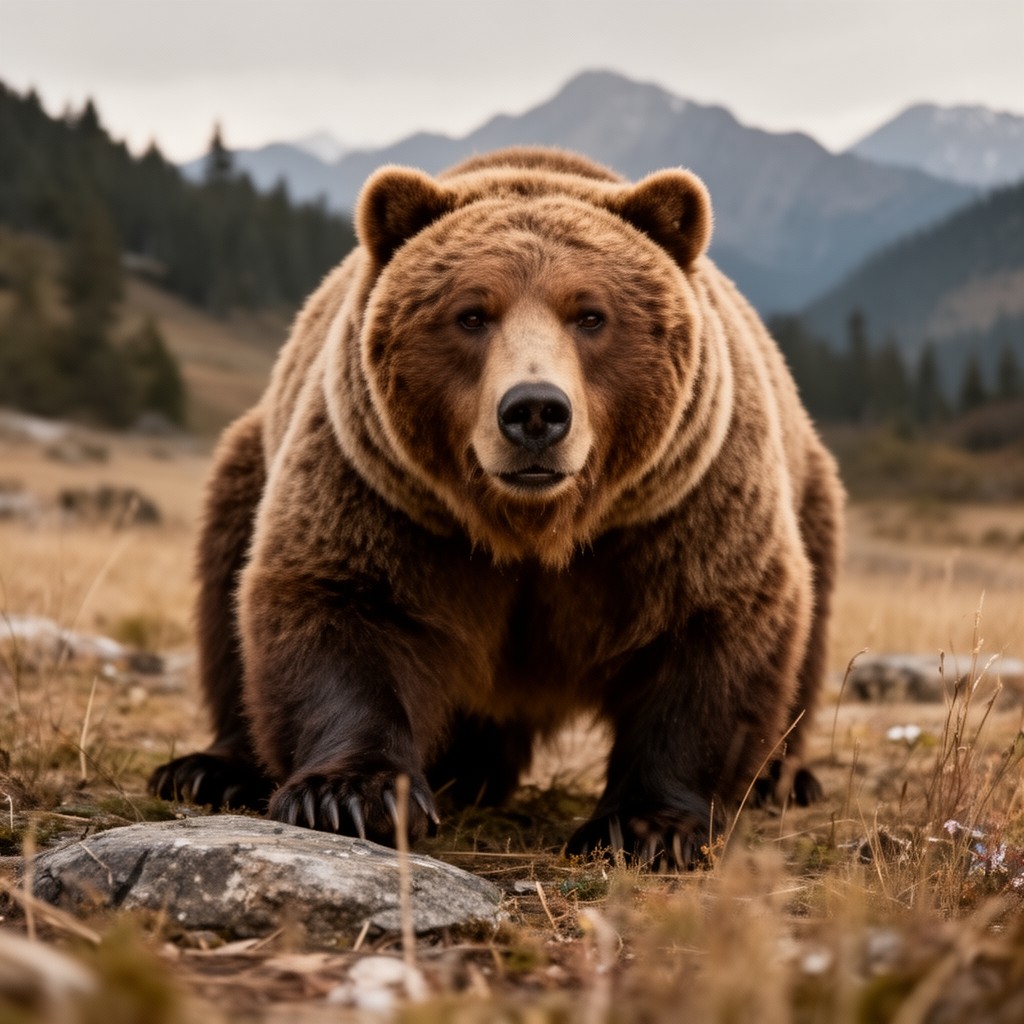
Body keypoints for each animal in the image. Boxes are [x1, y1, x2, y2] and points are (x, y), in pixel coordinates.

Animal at [149, 146, 843, 868]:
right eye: (472, 314)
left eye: (590, 314)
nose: (535, 410)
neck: (533, 528)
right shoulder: (383, 496)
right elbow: (341, 608)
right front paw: (351, 796)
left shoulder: (675, 510)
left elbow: (712, 630)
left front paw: (649, 828)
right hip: (253, 458)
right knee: (224, 579)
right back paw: (212, 768)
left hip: (810, 492)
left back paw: (784, 779)